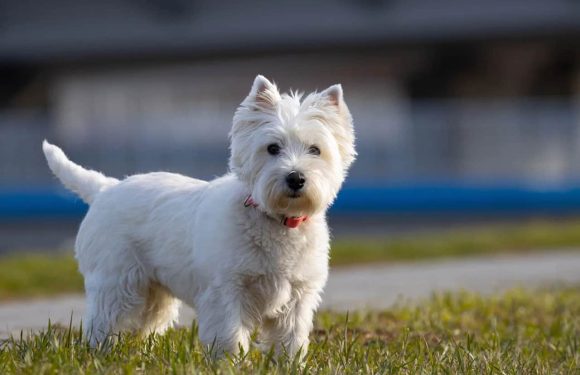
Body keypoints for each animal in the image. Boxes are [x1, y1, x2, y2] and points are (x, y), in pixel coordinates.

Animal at [42, 74, 354, 358]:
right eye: (272, 148)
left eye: (315, 149)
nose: (295, 178)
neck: (277, 220)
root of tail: (105, 188)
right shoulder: (225, 291)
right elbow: (229, 334)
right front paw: (230, 363)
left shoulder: (298, 296)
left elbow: (291, 339)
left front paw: (289, 364)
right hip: (116, 281)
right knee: (102, 322)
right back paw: (100, 354)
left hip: (156, 293)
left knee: (147, 324)